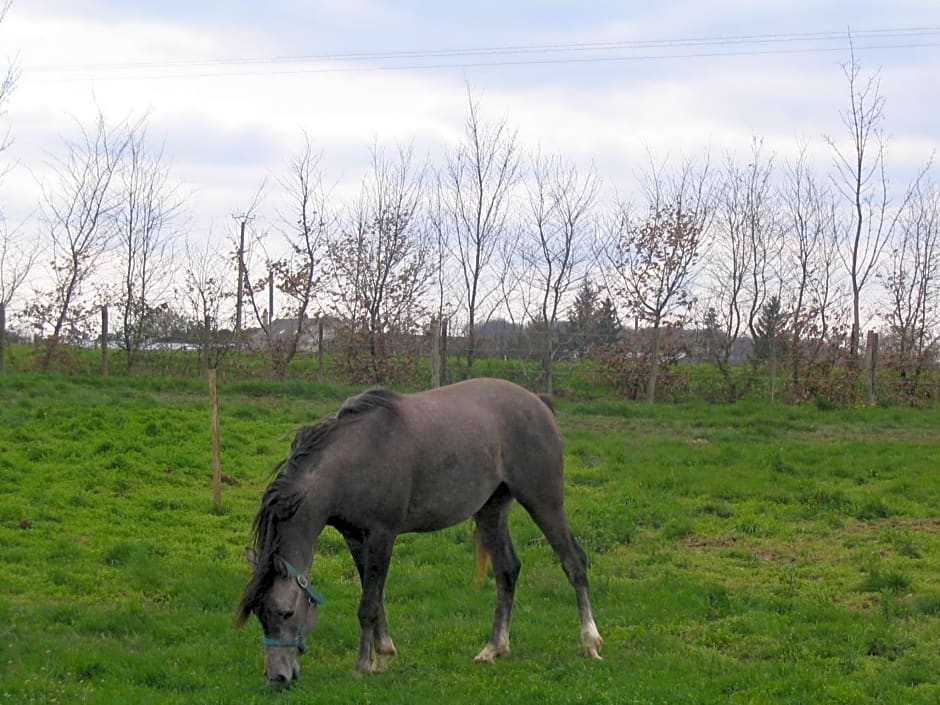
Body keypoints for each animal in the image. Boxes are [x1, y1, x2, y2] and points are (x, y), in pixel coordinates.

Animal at [235, 376, 604, 684]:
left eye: (286, 612)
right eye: (259, 615)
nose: (277, 677)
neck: (354, 457)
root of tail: (538, 402)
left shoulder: (383, 535)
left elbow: (368, 605)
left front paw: (363, 665)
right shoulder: (355, 538)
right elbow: (375, 597)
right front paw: (383, 655)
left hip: (544, 502)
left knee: (574, 562)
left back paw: (590, 642)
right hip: (491, 510)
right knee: (507, 570)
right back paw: (493, 648)